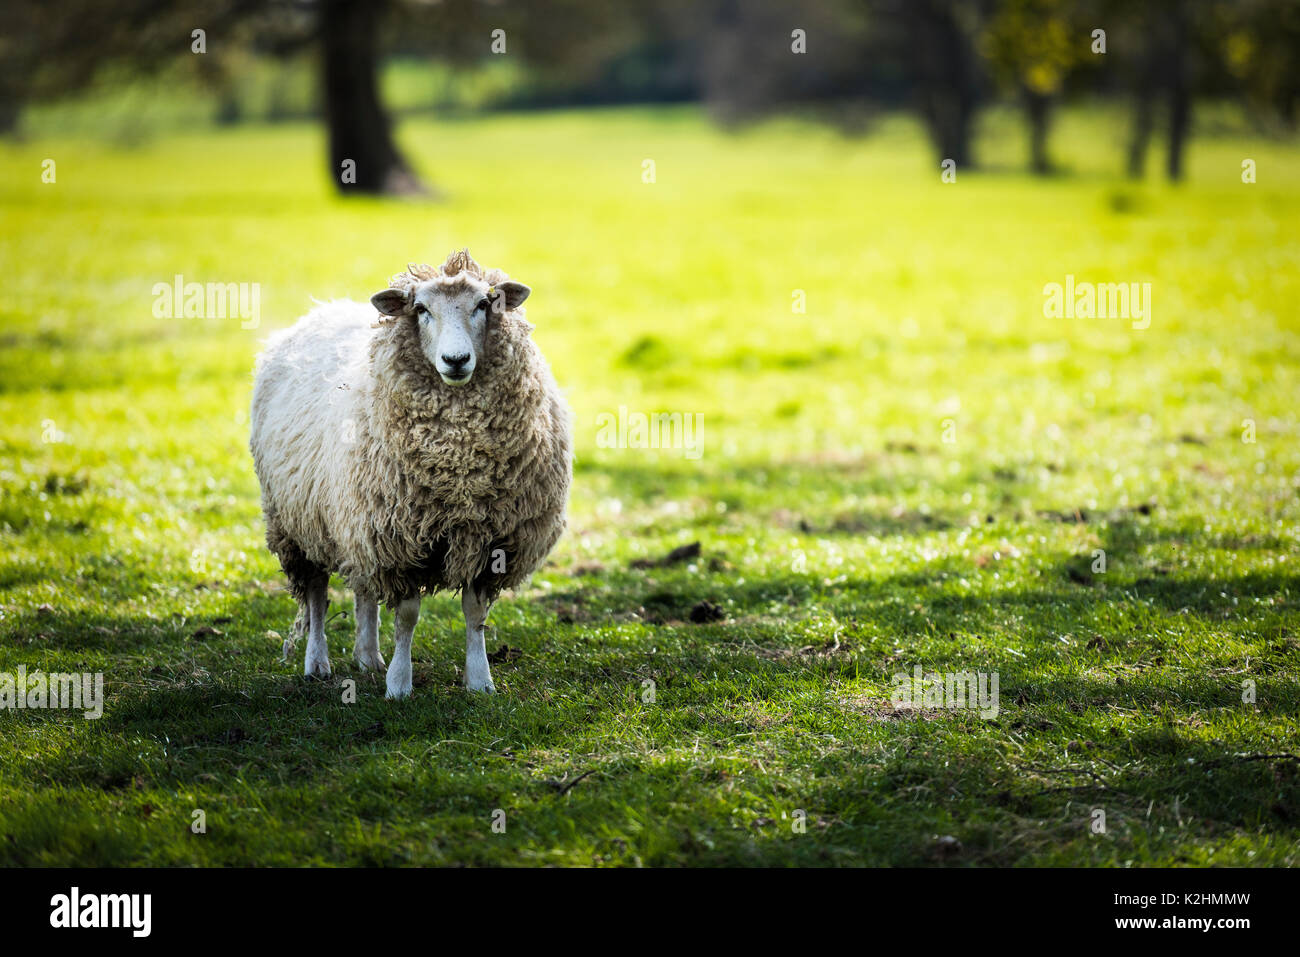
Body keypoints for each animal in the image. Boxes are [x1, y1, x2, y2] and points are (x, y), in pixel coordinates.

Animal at [249, 248, 574, 696]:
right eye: (420, 309)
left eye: (484, 304)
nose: (456, 360)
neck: (459, 459)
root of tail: (322, 310)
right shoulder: (400, 540)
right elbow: (407, 615)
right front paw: (400, 684)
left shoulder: (486, 538)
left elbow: (475, 614)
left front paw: (480, 680)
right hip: (298, 521)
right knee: (316, 593)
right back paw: (317, 663)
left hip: (355, 521)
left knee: (364, 589)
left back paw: (368, 657)